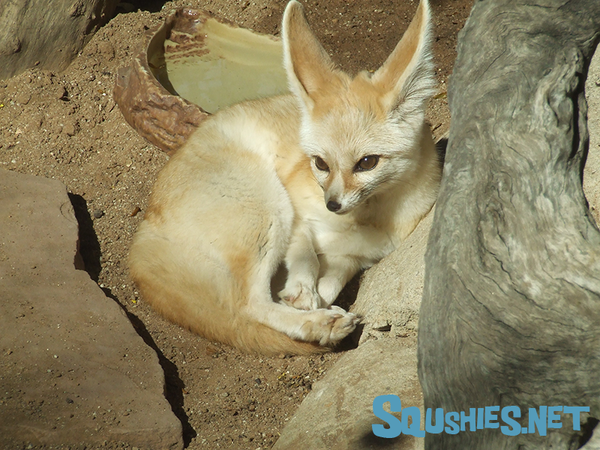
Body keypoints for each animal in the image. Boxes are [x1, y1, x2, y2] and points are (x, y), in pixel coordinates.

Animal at [130, 0, 440, 356]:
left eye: (367, 163)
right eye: (320, 163)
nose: (333, 204)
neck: (366, 218)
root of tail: (144, 233)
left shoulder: (355, 256)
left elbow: (331, 282)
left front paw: (313, 300)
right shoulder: (298, 212)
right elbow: (307, 257)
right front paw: (303, 293)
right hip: (270, 208)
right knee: (247, 305)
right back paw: (317, 324)